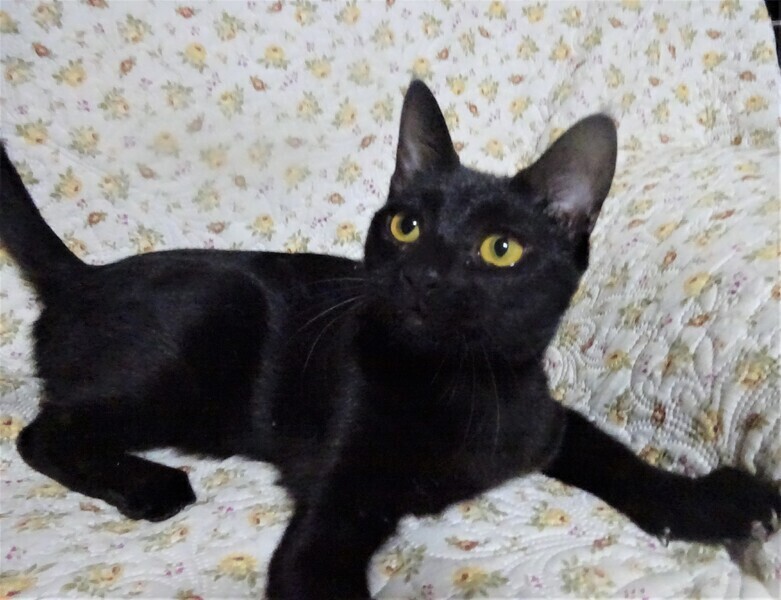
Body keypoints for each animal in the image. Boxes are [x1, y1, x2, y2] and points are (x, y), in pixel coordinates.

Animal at [0, 80, 779, 599]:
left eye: (500, 249)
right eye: (405, 226)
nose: (421, 273)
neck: (457, 385)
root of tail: (81, 276)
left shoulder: (543, 419)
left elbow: (620, 458)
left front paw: (716, 505)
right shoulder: (335, 512)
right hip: (200, 330)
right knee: (41, 433)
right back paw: (150, 483)